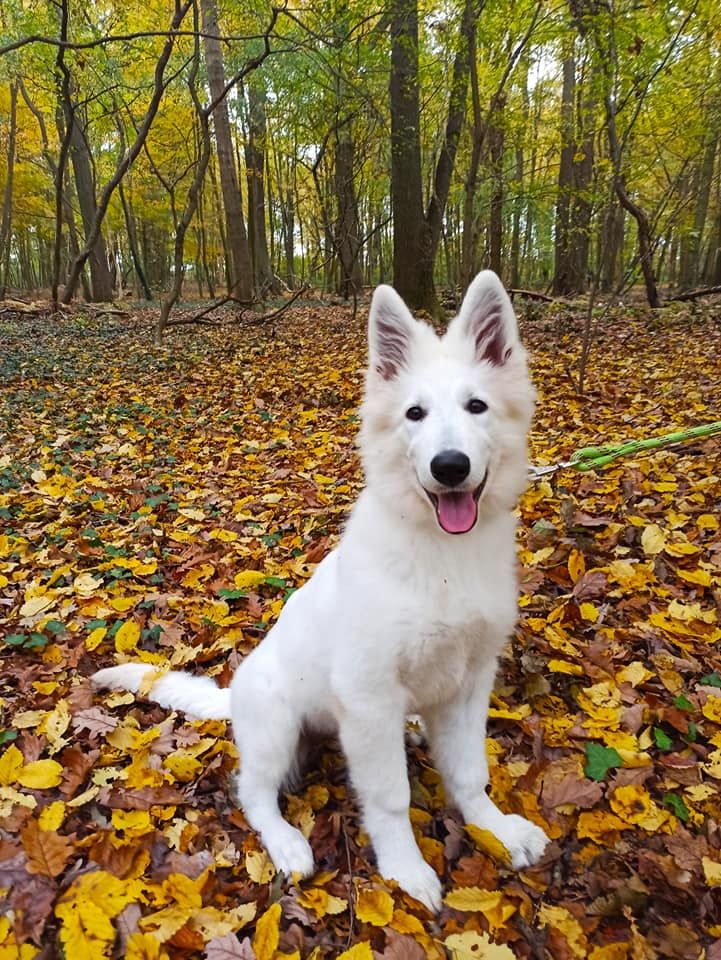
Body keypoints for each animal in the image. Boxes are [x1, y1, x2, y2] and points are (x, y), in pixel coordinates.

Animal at [93, 268, 548, 908]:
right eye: (414, 414)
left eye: (476, 406)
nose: (450, 466)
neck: (442, 555)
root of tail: (234, 695)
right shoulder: (370, 694)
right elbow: (390, 797)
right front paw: (405, 869)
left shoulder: (468, 684)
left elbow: (469, 773)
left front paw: (495, 829)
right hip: (278, 723)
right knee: (253, 792)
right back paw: (286, 843)